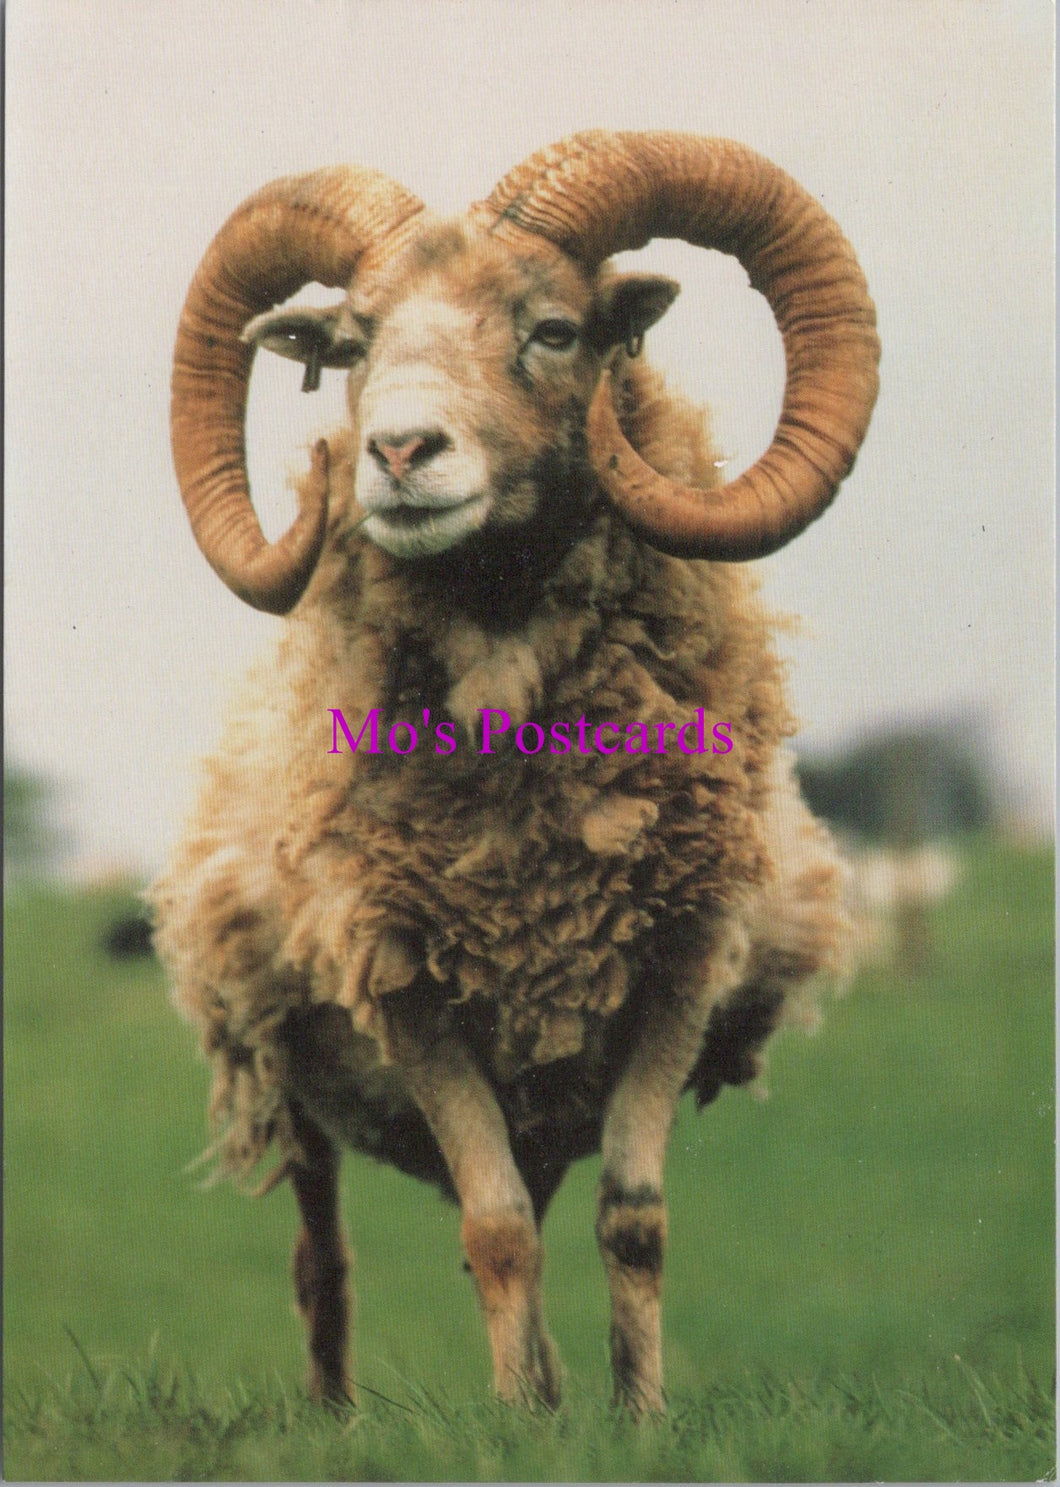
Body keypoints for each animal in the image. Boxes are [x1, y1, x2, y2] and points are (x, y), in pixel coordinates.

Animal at [150, 130, 879, 1415]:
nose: (396, 451)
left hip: (538, 1081)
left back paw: (546, 1388)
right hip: (288, 1069)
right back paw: (342, 1415)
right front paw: (516, 1431)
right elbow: (491, 1229)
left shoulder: (677, 962)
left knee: (533, 1202)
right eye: (354, 342)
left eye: (553, 329)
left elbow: (630, 1218)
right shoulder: (403, 979)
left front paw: (631, 1420)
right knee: (323, 1260)